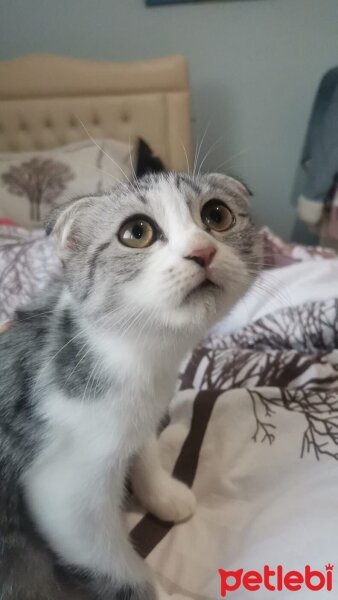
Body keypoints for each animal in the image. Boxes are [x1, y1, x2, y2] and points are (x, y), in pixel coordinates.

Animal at [0, 171, 260, 596]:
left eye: (217, 215)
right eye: (137, 232)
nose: (203, 251)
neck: (142, 359)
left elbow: (144, 447)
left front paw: (163, 494)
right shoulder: (63, 492)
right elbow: (113, 564)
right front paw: (159, 593)